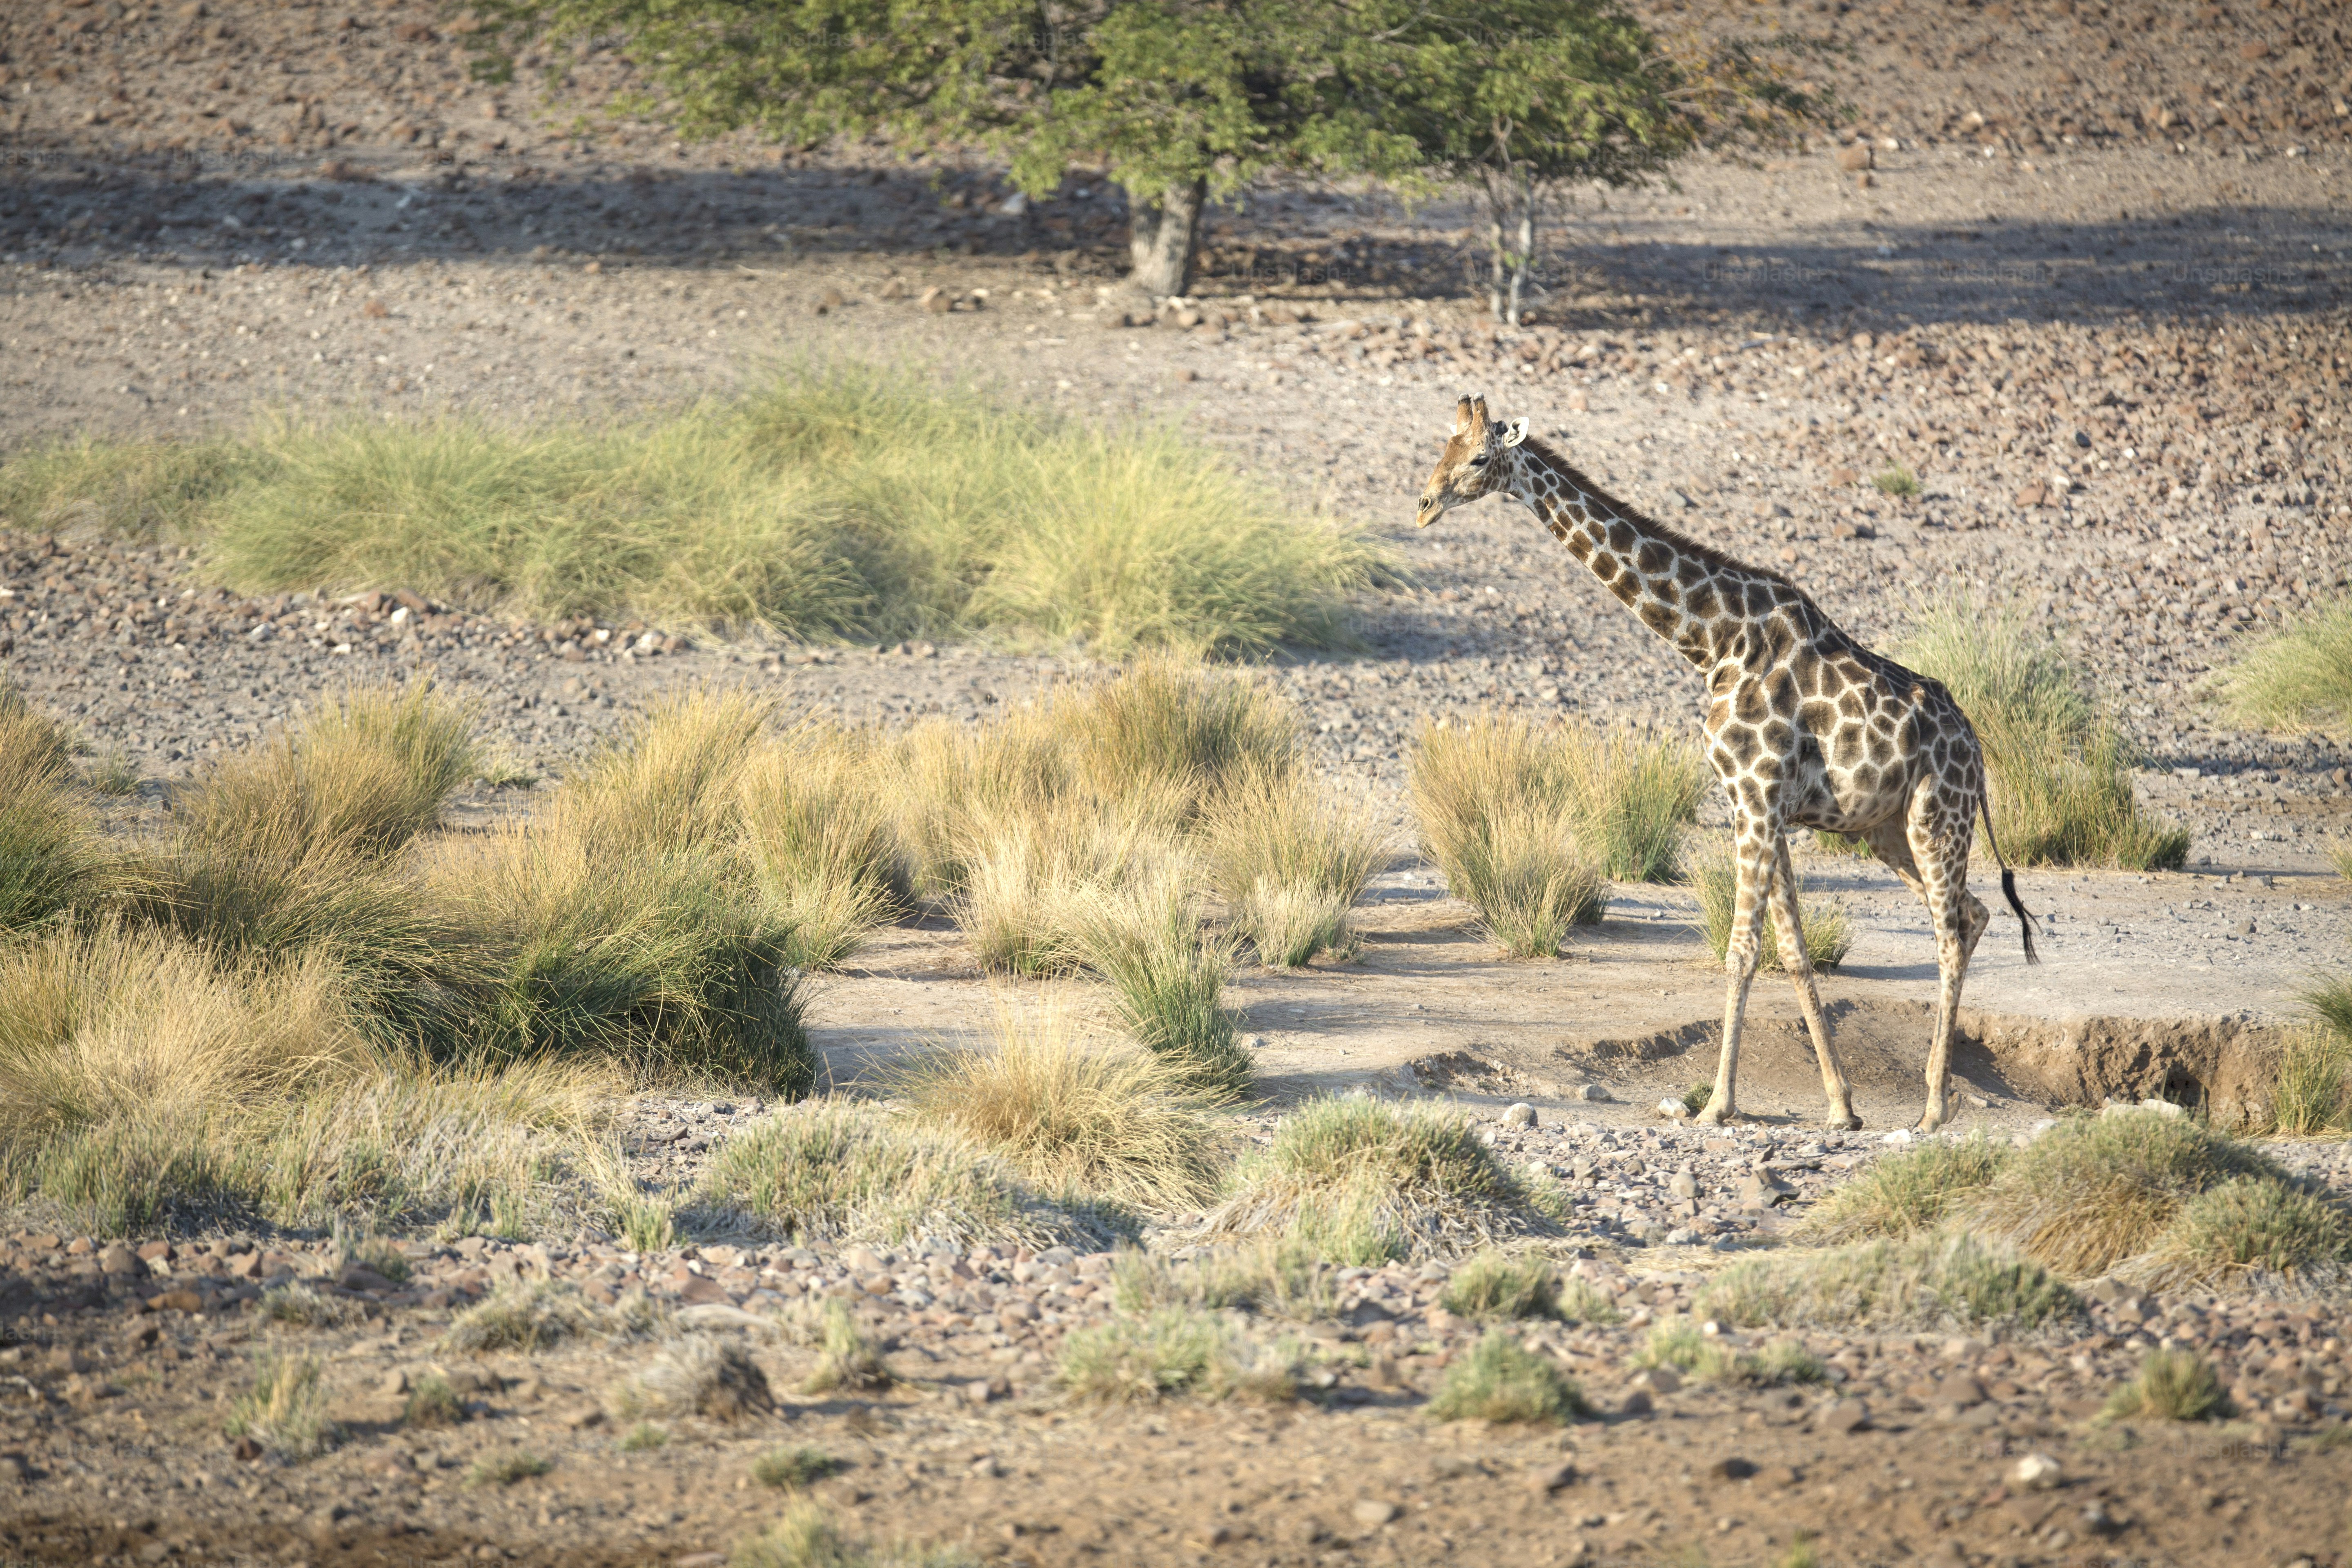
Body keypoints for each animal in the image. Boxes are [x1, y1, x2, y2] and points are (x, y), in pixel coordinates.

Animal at [1415, 396, 2037, 1132]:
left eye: (1479, 458)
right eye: (1440, 451)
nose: (1424, 505)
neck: (1711, 641)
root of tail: (1977, 748)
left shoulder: (1757, 795)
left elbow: (1742, 951)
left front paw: (1718, 1104)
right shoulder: (1759, 804)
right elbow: (1792, 951)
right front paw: (1841, 1107)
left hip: (1936, 817)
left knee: (1948, 931)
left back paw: (1936, 1108)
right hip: (1888, 832)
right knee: (1974, 914)